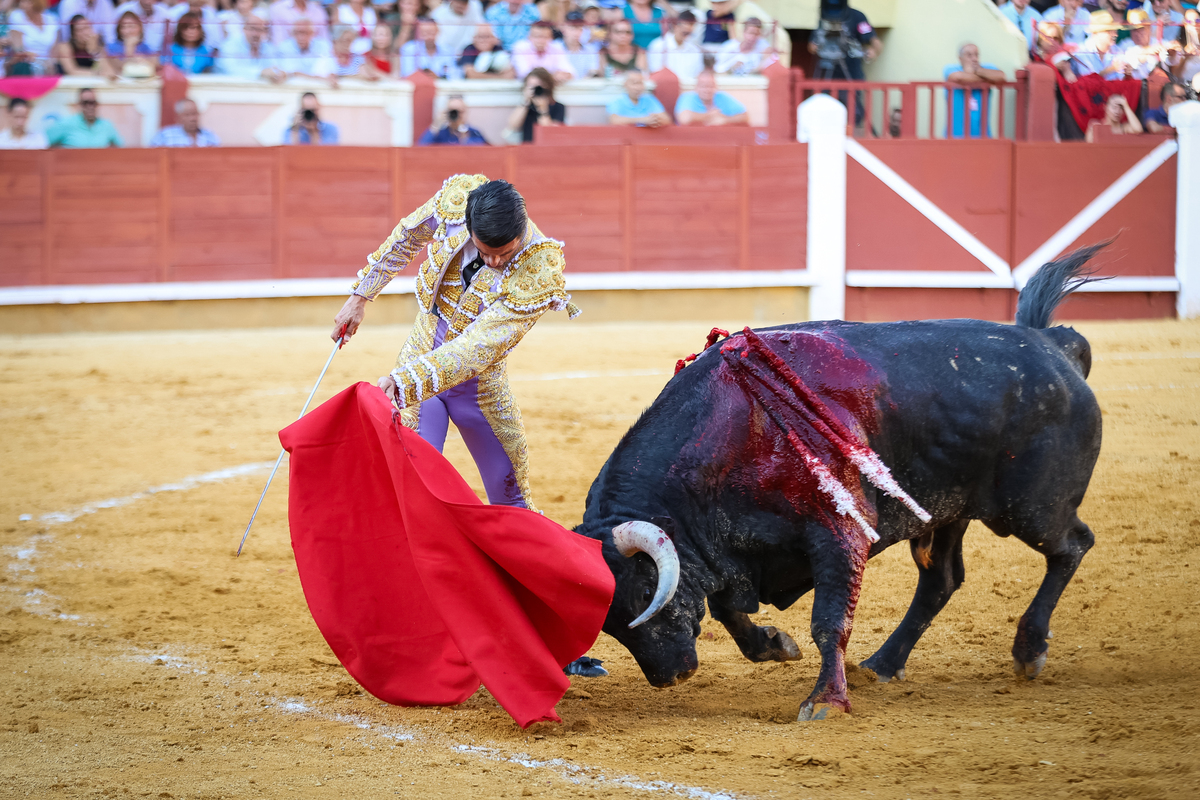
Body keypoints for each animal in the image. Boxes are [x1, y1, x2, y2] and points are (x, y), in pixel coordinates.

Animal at [576, 245, 1099, 719]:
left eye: (645, 593)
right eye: (610, 621)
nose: (670, 675)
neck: (732, 430)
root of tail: (1054, 345)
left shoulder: (840, 532)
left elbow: (829, 621)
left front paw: (825, 701)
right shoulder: (729, 548)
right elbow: (727, 607)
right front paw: (775, 645)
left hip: (1030, 508)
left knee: (1071, 545)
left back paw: (1029, 650)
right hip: (950, 510)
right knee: (942, 578)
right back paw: (884, 664)